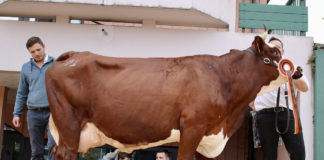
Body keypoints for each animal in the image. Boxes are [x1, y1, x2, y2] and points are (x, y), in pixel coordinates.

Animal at [45, 34, 284, 159]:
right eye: (275, 53)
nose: (293, 71)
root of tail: (74, 55)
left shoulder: (206, 135)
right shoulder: (193, 127)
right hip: (69, 123)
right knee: (65, 153)